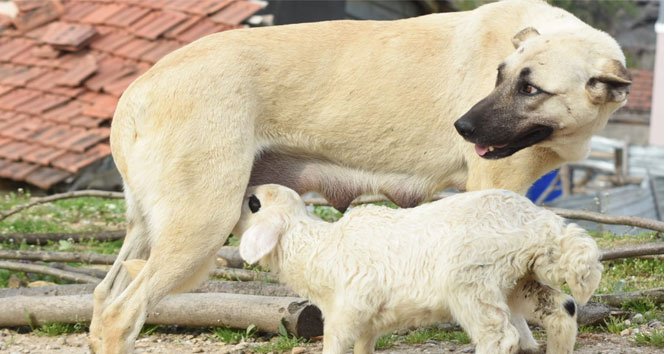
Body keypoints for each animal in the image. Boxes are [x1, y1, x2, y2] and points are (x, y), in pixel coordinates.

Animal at [235, 185, 604, 354]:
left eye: (254, 203)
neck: (317, 248)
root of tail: (540, 222)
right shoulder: (368, 321)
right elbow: (364, 347)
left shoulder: (348, 310)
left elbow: (335, 345)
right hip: (517, 280)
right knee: (563, 309)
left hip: (472, 281)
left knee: (500, 337)